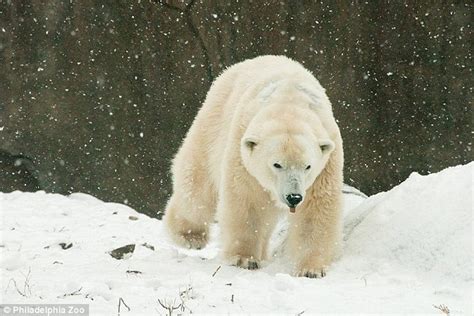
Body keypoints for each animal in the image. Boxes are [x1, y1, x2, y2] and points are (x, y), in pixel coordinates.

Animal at [165, 55, 342, 278]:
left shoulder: (327, 162)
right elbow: (246, 199)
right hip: (213, 120)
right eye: (277, 164)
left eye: (307, 166)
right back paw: (190, 235)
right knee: (196, 183)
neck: (289, 103)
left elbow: (316, 209)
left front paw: (311, 269)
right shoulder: (242, 148)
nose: (293, 197)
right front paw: (244, 258)